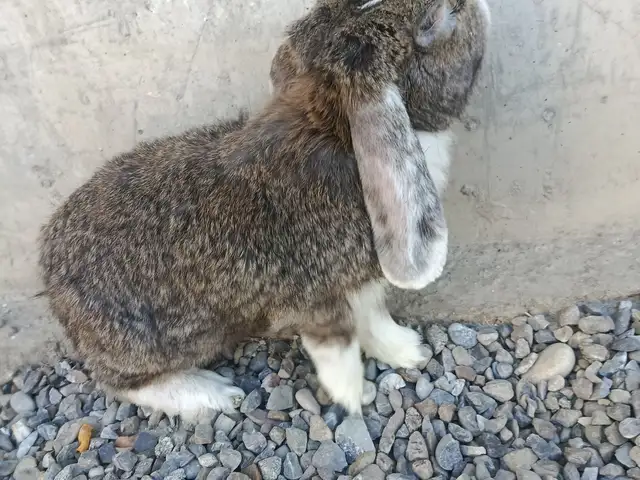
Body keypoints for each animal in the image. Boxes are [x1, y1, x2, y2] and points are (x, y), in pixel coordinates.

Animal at [38, 0, 490, 421]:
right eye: (435, 21)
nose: (476, 6)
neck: (340, 132)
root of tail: (51, 280)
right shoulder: (317, 299)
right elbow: (338, 347)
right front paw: (354, 398)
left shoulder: (362, 284)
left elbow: (374, 320)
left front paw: (410, 353)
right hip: (158, 346)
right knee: (123, 384)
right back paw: (215, 394)